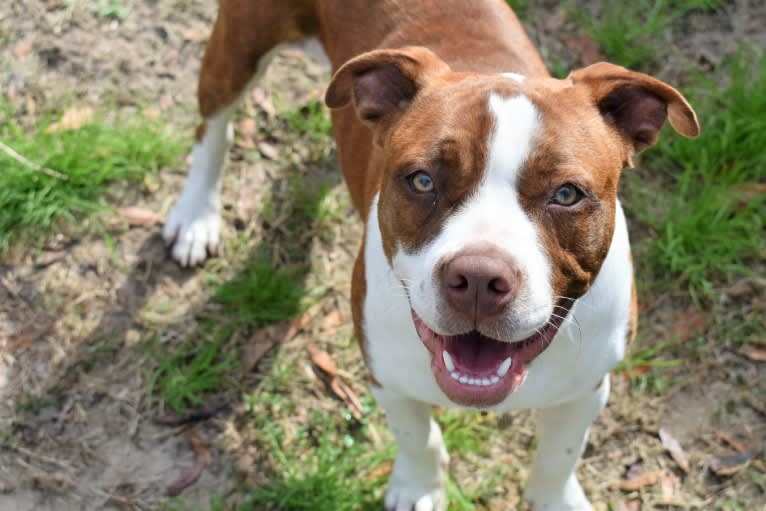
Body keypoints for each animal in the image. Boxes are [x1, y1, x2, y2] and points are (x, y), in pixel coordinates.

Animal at [164, 2, 704, 510]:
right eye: (422, 180)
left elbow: (560, 455)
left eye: (567, 194)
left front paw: (555, 499)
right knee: (213, 128)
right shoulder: (387, 375)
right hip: (238, 48)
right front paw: (419, 488)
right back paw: (195, 216)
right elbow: (416, 439)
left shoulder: (587, 387)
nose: (480, 278)